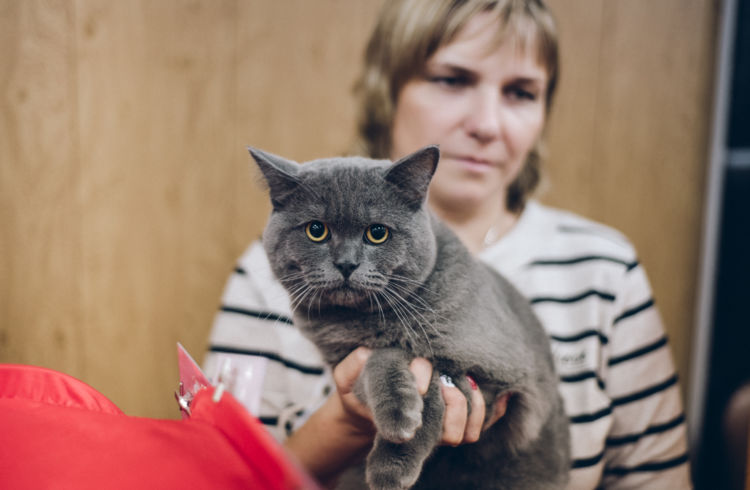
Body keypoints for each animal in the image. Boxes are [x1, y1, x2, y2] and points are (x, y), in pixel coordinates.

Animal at [253, 146, 568, 490]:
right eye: (316, 230)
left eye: (377, 233)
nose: (346, 264)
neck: (369, 322)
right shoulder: (345, 362)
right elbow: (384, 363)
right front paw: (400, 415)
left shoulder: (494, 378)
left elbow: (424, 384)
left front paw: (391, 463)